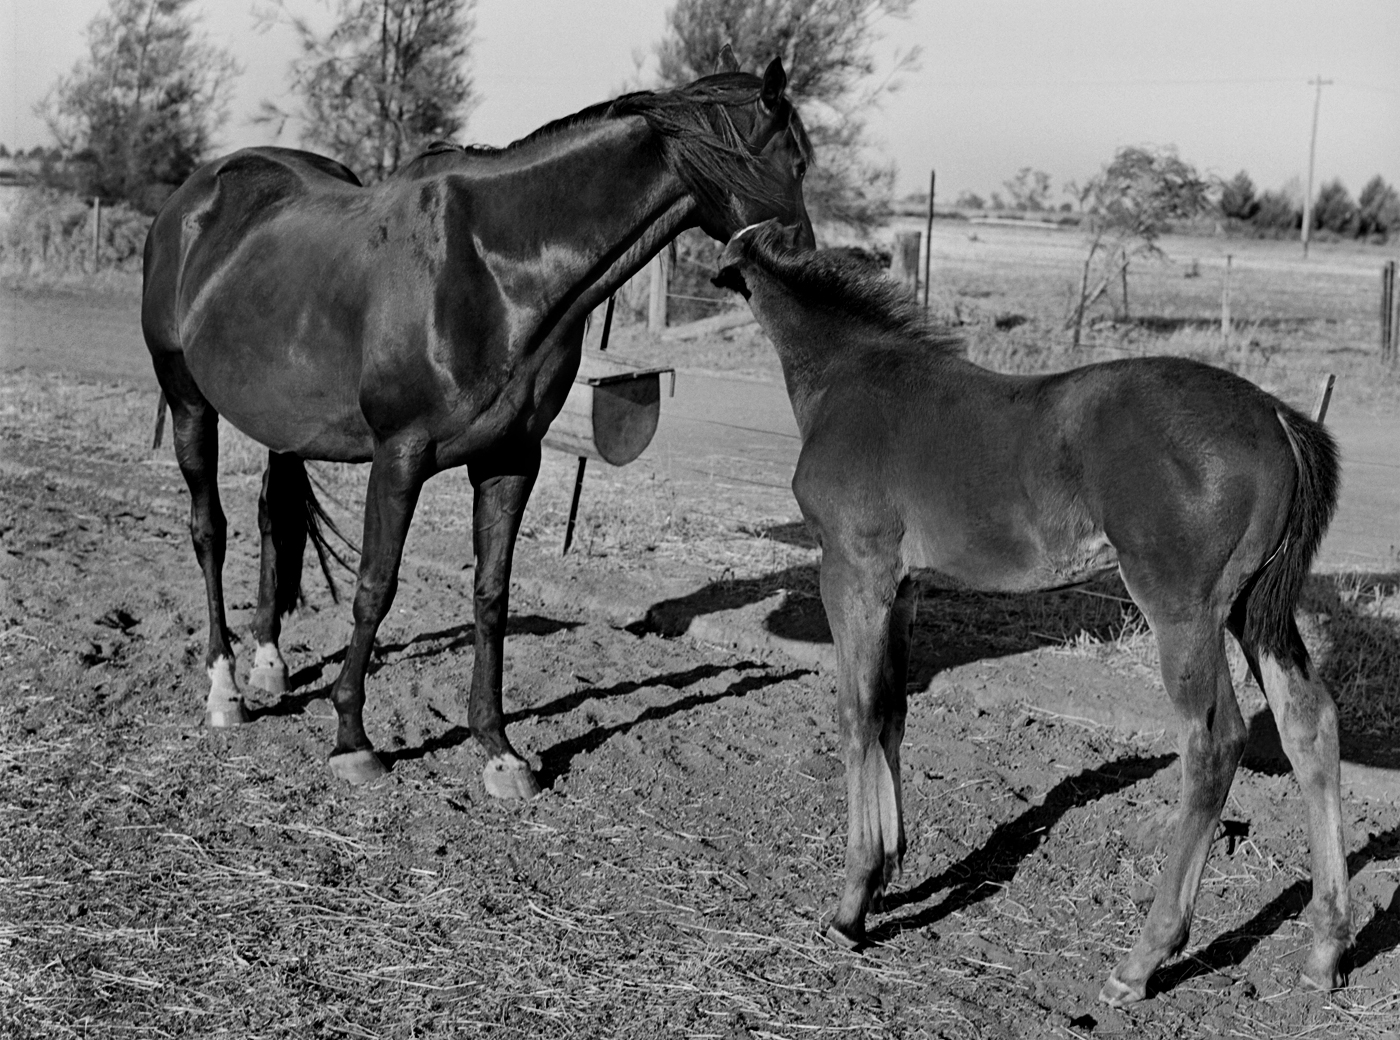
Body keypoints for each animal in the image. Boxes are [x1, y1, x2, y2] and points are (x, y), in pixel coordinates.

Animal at [141, 54, 813, 799]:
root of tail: (192, 199)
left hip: (281, 420)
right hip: (187, 400)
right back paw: (224, 689)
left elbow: (492, 593)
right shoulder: (399, 456)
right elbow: (376, 586)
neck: (492, 267)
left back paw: (267, 665)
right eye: (798, 162)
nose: (808, 264)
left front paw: (498, 749)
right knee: (209, 530)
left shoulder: (512, 458)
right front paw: (352, 740)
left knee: (270, 519)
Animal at [713, 221, 1347, 1007]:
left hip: (1183, 609)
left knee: (1215, 741)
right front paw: (891, 868)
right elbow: (892, 709)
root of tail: (1278, 417)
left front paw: (851, 904)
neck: (847, 375)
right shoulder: (905, 587)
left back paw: (1140, 961)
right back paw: (1325, 950)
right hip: (1255, 610)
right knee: (1309, 724)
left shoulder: (853, 572)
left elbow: (856, 713)